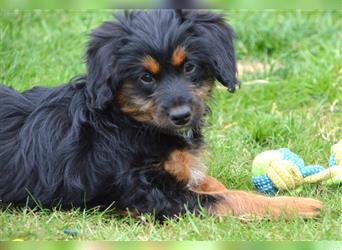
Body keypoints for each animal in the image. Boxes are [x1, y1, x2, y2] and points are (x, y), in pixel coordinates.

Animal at [0, 10, 322, 221]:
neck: (128, 122)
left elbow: (210, 183)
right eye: (145, 77)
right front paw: (297, 205)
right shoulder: (149, 195)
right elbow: (227, 197)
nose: (181, 116)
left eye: (189, 67)